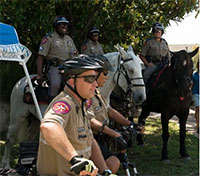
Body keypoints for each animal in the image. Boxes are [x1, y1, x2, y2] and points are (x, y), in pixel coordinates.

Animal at [0, 45, 146, 168]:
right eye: (130, 70)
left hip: (36, 119)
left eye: (141, 69)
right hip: (17, 117)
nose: (141, 97)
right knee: (9, 139)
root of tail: (22, 81)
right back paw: (6, 165)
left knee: (29, 138)